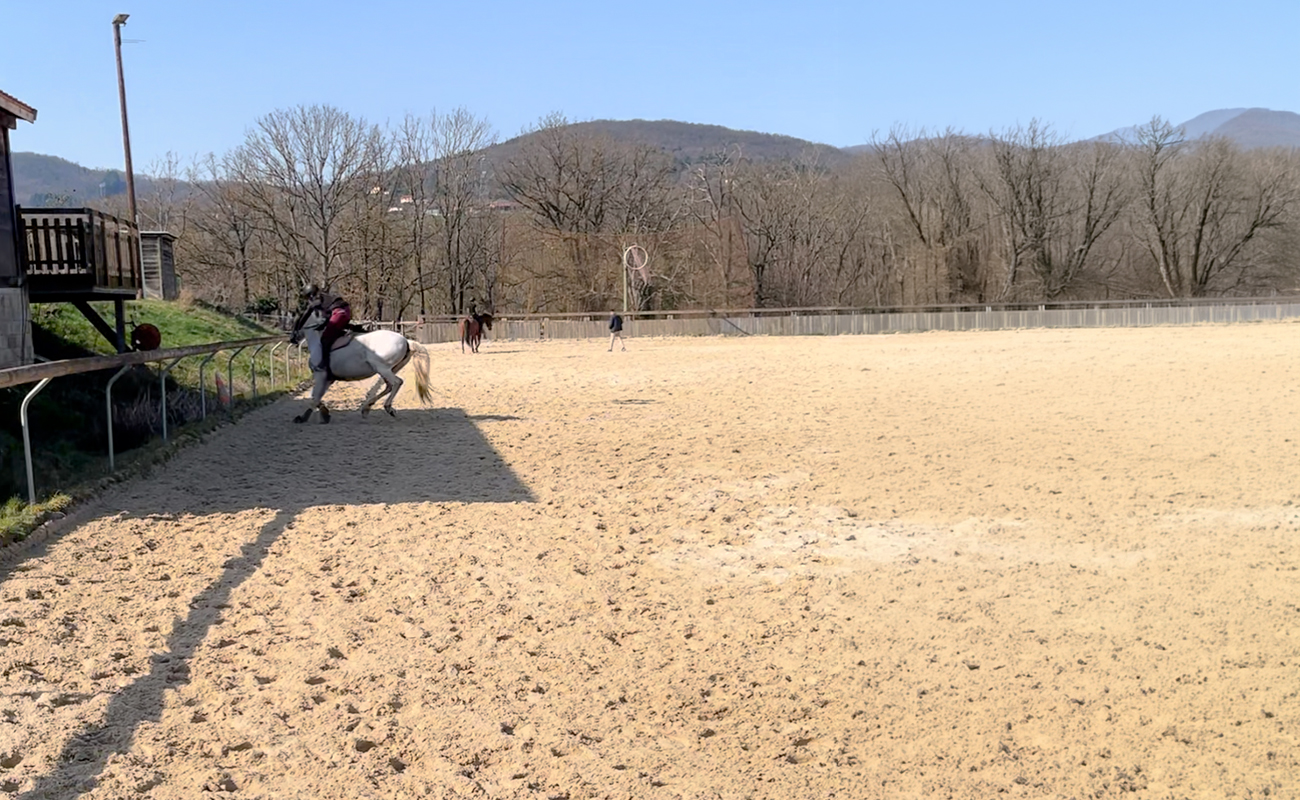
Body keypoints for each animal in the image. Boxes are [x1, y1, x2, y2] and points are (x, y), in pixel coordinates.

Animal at [289, 305, 433, 424]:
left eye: (296, 318)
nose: (292, 339)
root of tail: (406, 341)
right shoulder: (328, 379)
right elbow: (316, 397)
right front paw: (324, 414)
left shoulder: (320, 376)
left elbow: (313, 398)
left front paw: (302, 418)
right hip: (389, 369)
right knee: (388, 386)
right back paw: (367, 407)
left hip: (383, 368)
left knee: (397, 383)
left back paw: (386, 407)